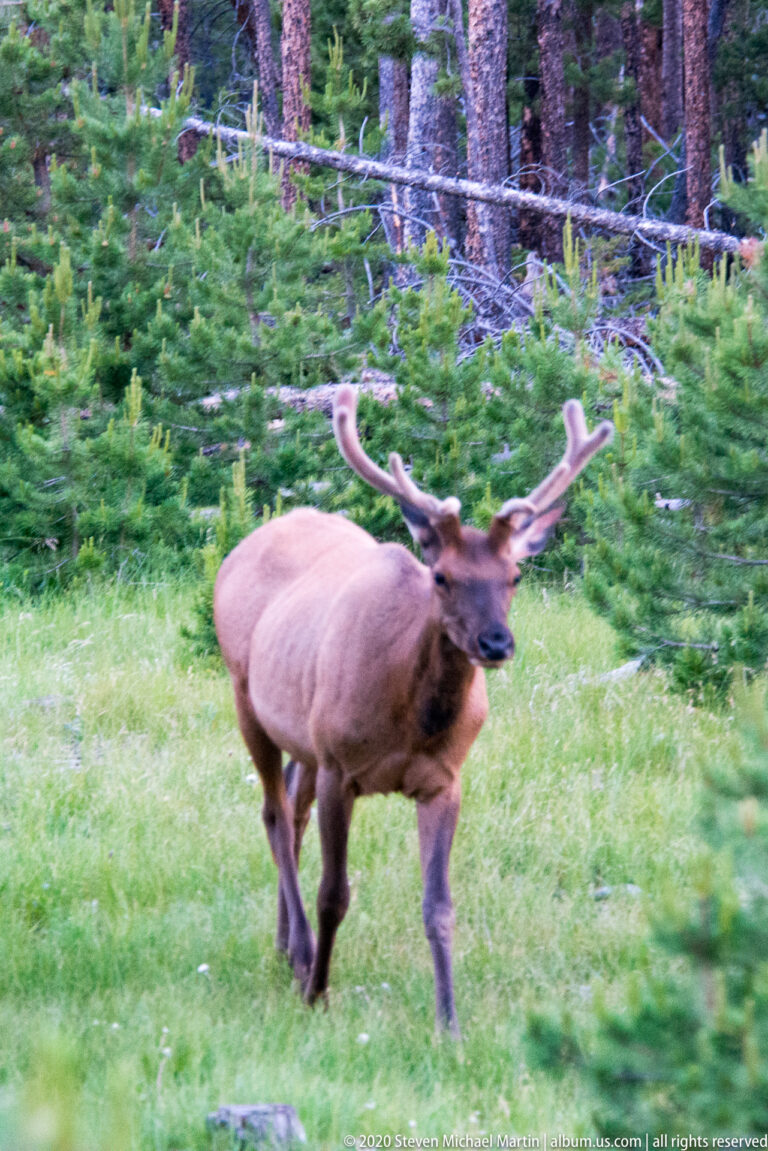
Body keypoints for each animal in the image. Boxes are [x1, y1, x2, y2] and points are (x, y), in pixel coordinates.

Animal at [213, 386, 613, 1036]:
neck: (408, 721)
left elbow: (439, 905)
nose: (496, 643)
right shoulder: (340, 767)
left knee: (291, 813)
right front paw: (319, 991)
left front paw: (449, 1022)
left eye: (514, 575)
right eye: (443, 576)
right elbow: (334, 892)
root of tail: (242, 546)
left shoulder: (444, 781)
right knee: (274, 816)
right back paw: (300, 955)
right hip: (246, 694)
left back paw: (284, 946)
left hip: (302, 734)